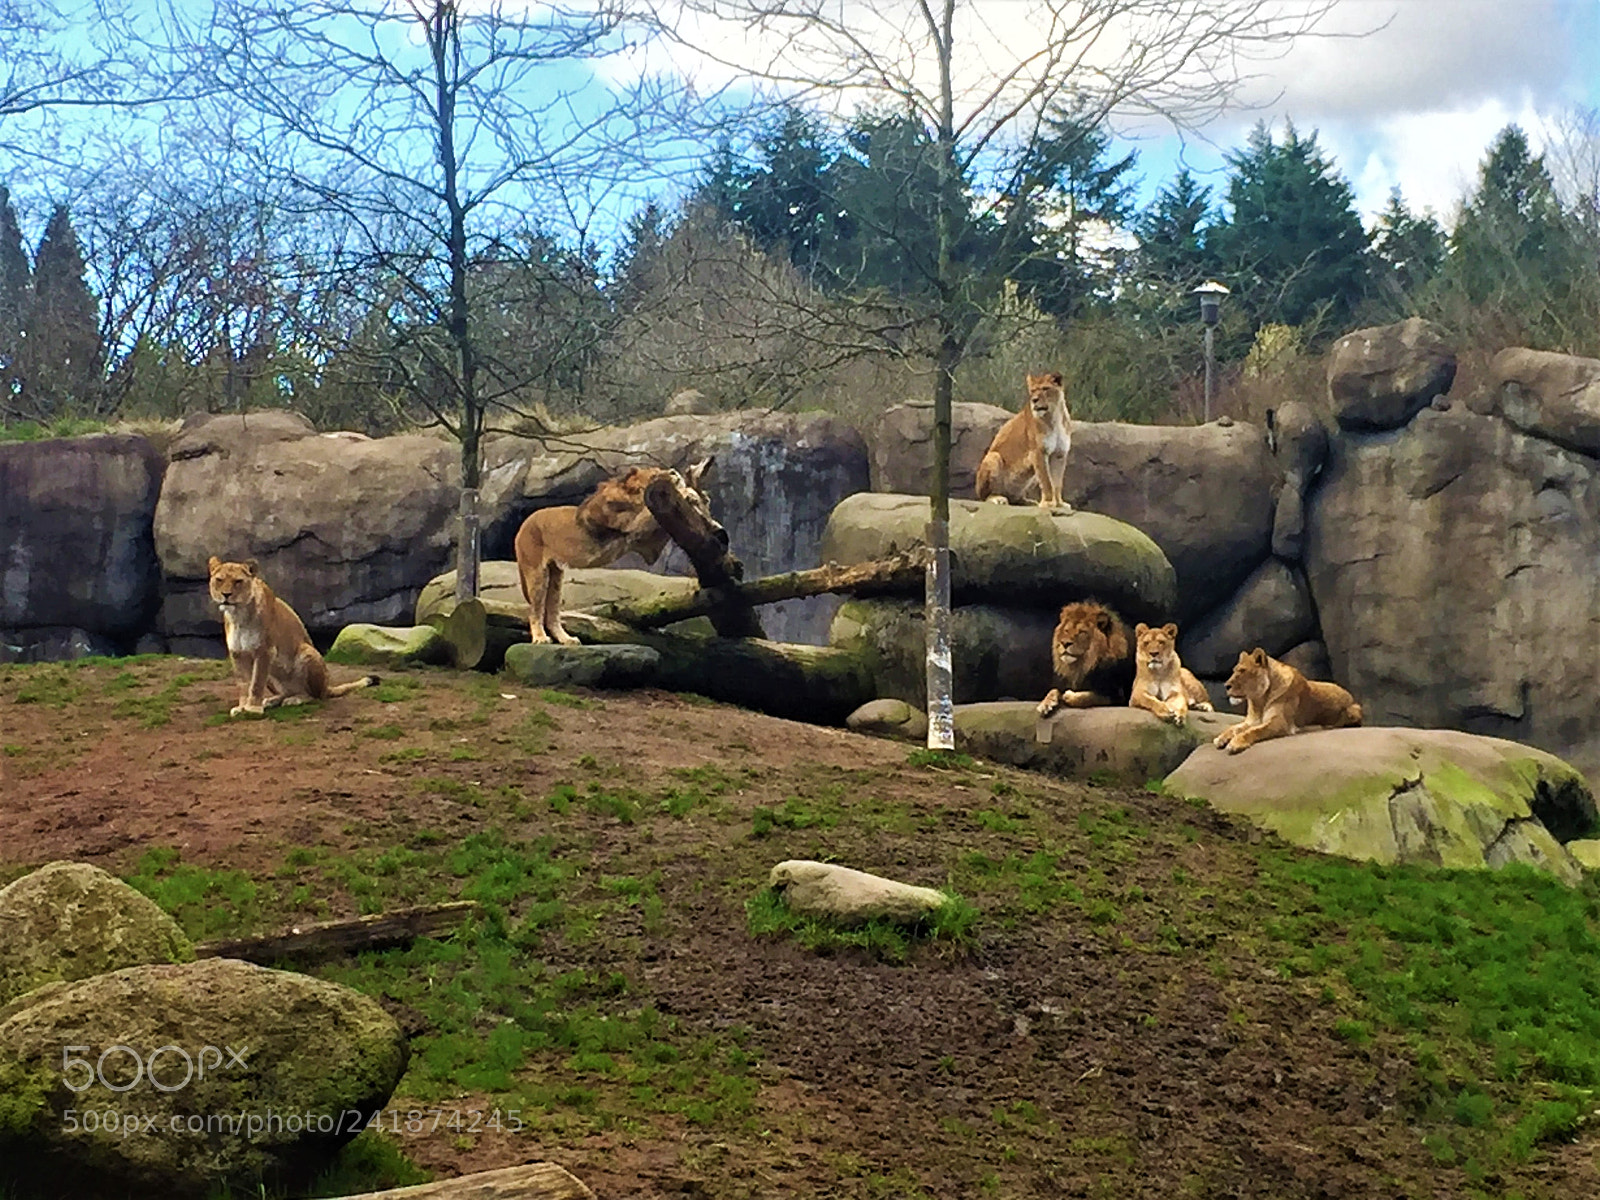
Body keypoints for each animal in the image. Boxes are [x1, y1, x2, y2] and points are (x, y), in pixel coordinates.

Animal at [208, 556, 378, 718]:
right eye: (219, 580)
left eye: (238, 581)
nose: (226, 595)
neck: (238, 615)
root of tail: (327, 686)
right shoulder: (237, 653)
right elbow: (244, 684)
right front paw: (242, 707)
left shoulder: (265, 651)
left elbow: (256, 683)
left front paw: (253, 709)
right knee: (286, 692)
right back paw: (272, 700)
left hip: (307, 652)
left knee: (316, 696)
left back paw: (295, 699)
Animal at [512, 459, 723, 645]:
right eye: (655, 474)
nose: (673, 472)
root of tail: (523, 525)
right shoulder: (633, 524)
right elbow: (645, 511)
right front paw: (689, 493)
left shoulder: (650, 538)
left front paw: (705, 509)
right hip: (536, 570)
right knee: (535, 610)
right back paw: (540, 638)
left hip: (556, 575)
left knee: (552, 612)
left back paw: (567, 640)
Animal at [974, 371, 1074, 510]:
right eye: (1032, 391)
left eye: (1045, 388)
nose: (1034, 400)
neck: (1055, 416)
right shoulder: (1038, 452)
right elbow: (1046, 481)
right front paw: (1048, 503)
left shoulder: (1060, 454)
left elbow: (1057, 483)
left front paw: (1059, 503)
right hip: (993, 457)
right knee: (985, 497)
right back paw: (998, 498)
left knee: (1016, 498)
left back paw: (1029, 501)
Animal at [1211, 648, 1363, 754]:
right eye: (1234, 670)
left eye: (1242, 671)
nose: (1226, 685)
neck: (1259, 700)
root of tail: (1350, 695)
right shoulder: (1251, 721)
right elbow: (1233, 727)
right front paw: (1221, 738)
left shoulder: (1280, 722)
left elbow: (1254, 731)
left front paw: (1235, 743)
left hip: (1353, 710)